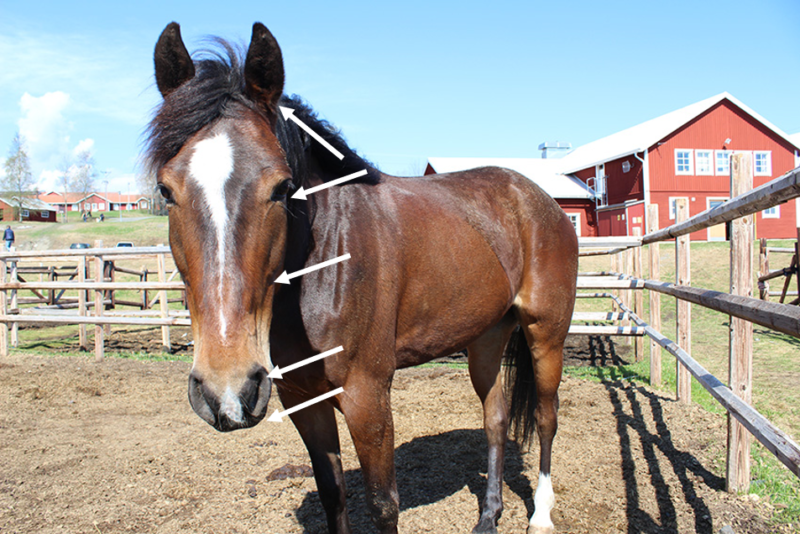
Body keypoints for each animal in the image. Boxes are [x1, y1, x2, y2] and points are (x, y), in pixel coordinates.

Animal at [147, 22, 580, 534]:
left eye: (281, 188)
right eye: (165, 191)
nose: (226, 390)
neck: (323, 266)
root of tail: (539, 199)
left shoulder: (367, 397)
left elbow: (382, 503)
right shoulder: (304, 399)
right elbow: (333, 494)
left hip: (546, 334)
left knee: (547, 416)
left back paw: (542, 515)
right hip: (486, 336)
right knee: (494, 418)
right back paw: (488, 516)